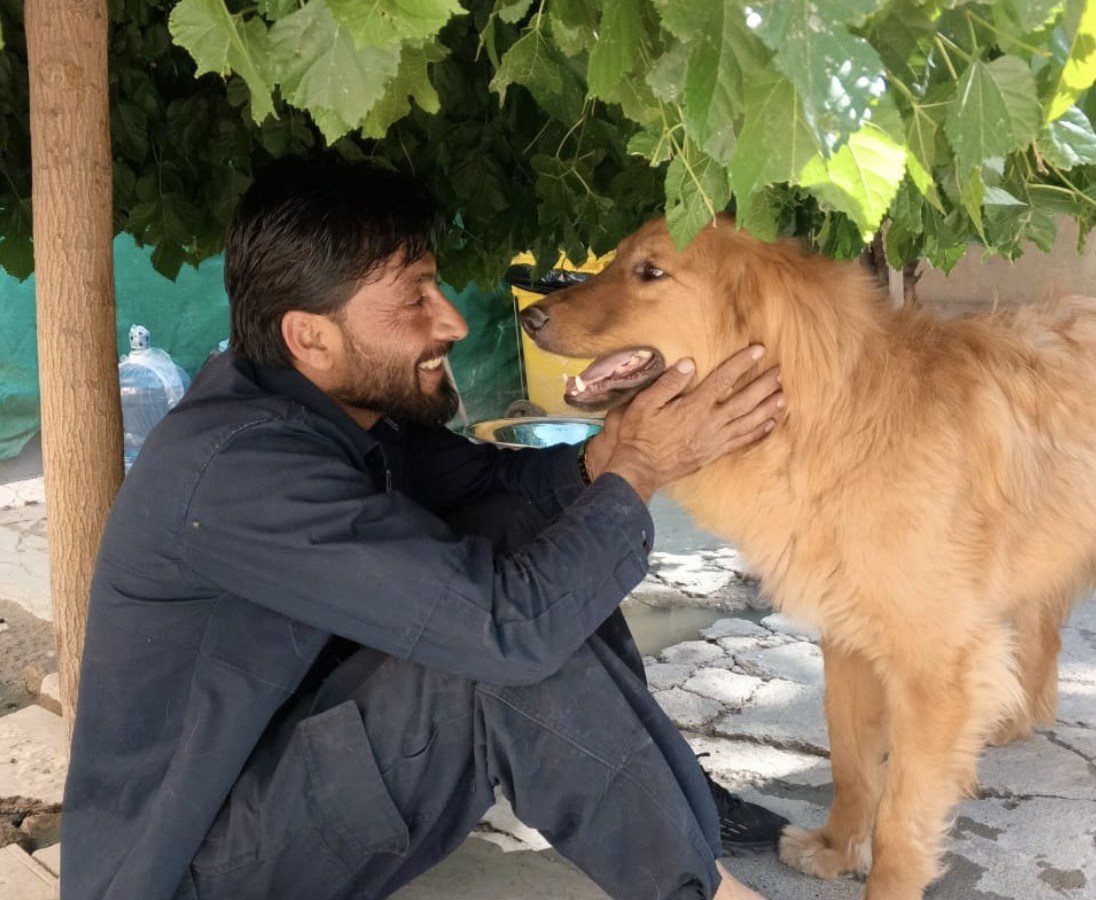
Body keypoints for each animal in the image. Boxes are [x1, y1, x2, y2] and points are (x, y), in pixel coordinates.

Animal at [519, 215, 1096, 900]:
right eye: (616, 261)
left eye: (651, 272)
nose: (528, 315)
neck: (836, 420)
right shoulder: (846, 639)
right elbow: (849, 759)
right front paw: (837, 850)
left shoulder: (934, 670)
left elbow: (901, 820)